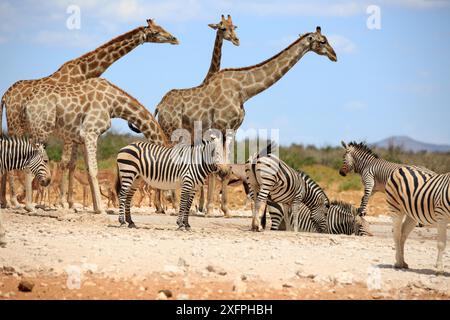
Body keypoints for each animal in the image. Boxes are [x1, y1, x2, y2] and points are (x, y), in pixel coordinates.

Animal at [0, 18, 179, 211]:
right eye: (156, 31)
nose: (175, 39)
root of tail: (5, 96)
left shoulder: (79, 136)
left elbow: (77, 166)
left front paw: (77, 204)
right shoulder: (82, 133)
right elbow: (76, 165)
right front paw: (74, 204)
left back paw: (8, 201)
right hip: (24, 126)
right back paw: (19, 203)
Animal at [155, 26, 338, 216]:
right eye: (322, 41)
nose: (334, 55)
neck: (243, 91)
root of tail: (160, 106)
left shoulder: (232, 129)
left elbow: (224, 169)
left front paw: (221, 209)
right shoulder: (222, 127)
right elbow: (220, 170)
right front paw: (214, 209)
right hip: (175, 131)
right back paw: (175, 205)